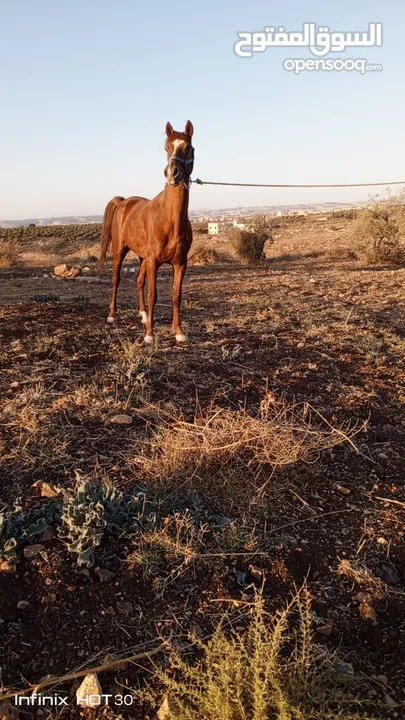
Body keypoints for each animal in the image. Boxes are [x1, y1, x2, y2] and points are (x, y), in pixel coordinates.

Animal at [98, 119, 195, 344]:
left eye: (188, 147)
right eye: (166, 148)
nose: (172, 173)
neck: (170, 220)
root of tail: (123, 202)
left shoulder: (180, 263)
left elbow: (176, 295)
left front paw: (179, 331)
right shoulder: (154, 261)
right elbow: (153, 295)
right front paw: (150, 335)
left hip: (142, 257)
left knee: (139, 281)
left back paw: (143, 315)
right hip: (120, 251)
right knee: (116, 280)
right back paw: (112, 315)